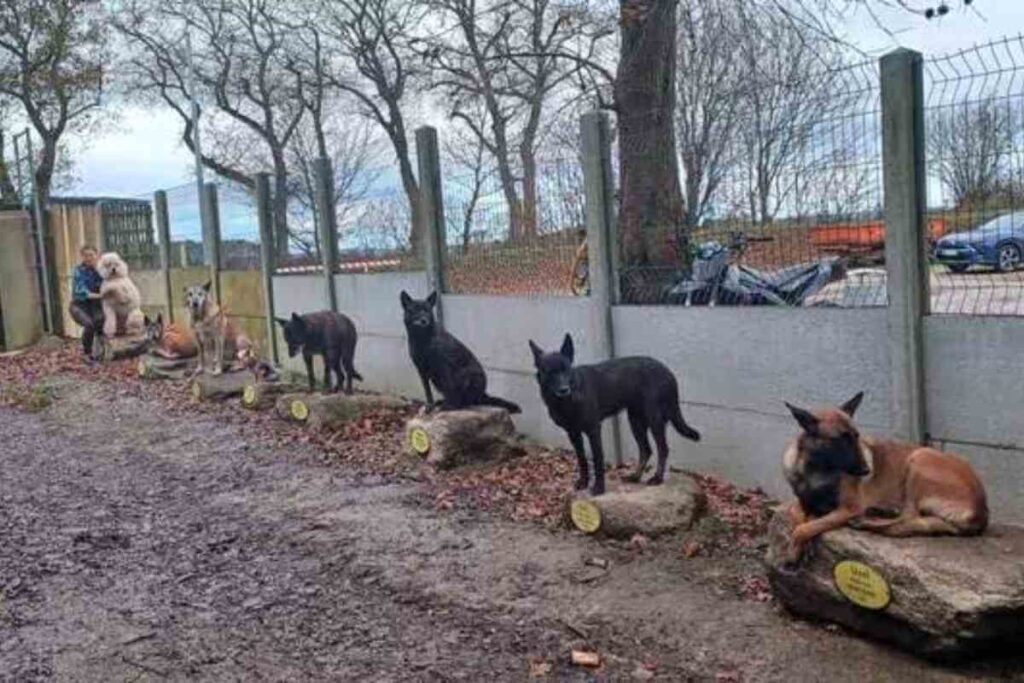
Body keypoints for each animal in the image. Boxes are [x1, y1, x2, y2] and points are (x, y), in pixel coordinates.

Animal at [528, 333, 704, 493]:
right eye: (549, 372)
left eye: (566, 370)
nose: (564, 390)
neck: (567, 402)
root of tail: (668, 372)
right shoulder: (573, 434)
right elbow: (582, 459)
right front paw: (583, 482)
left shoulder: (593, 430)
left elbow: (598, 459)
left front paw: (599, 488)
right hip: (635, 421)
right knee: (646, 450)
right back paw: (635, 476)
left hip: (654, 420)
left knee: (663, 449)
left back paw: (657, 478)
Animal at [778, 393, 987, 565]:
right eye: (840, 439)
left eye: (856, 436)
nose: (866, 470)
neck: (815, 470)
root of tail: (981, 510)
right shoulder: (802, 502)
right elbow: (799, 518)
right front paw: (803, 543)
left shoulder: (850, 507)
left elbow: (805, 527)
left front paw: (795, 548)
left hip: (919, 457)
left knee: (909, 518)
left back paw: (867, 521)